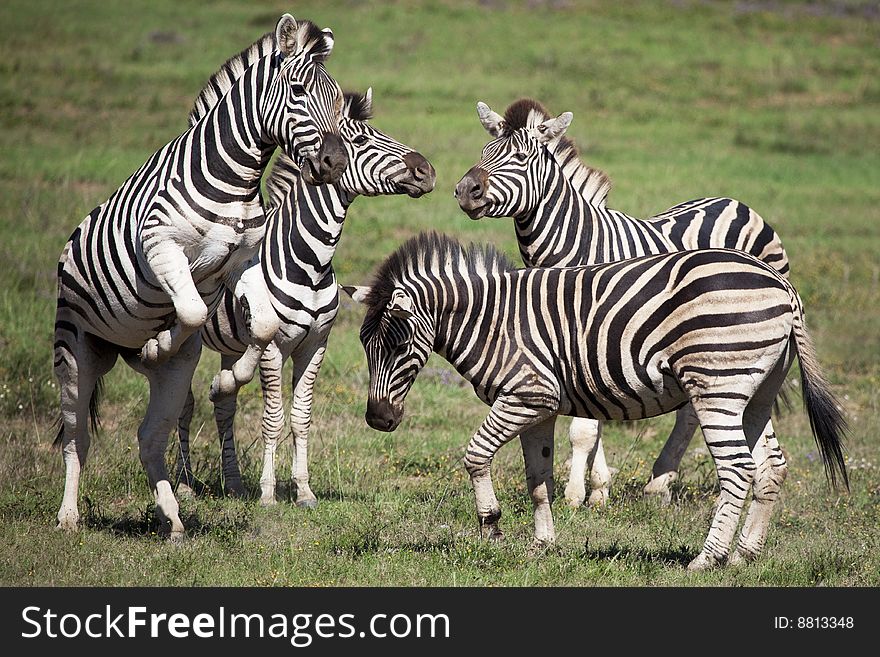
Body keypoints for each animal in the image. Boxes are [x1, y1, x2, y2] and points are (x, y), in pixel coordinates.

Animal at [50, 15, 348, 540]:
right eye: (297, 91)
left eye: (335, 98)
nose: (334, 164)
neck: (235, 180)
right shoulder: (160, 245)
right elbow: (189, 308)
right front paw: (157, 343)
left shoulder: (243, 261)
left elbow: (262, 327)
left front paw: (228, 376)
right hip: (75, 350)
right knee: (76, 435)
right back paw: (69, 518)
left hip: (169, 375)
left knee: (150, 436)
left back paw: (172, 518)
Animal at [174, 86, 434, 498]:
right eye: (361, 140)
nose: (427, 171)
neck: (311, 263)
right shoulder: (273, 348)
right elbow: (273, 418)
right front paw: (268, 493)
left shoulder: (315, 345)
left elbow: (300, 417)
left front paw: (303, 491)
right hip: (190, 337)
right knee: (184, 404)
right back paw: (184, 484)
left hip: (232, 345)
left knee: (224, 404)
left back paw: (233, 482)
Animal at [344, 232, 844, 568]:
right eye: (365, 345)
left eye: (400, 345)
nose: (377, 420)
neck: (491, 321)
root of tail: (782, 286)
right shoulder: (538, 406)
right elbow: (538, 477)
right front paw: (542, 545)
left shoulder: (524, 395)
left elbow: (475, 456)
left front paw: (491, 530)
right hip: (757, 394)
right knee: (771, 467)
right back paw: (744, 555)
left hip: (717, 386)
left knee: (738, 469)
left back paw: (707, 559)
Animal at [454, 98, 792, 508]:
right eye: (484, 152)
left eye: (519, 157)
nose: (464, 190)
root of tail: (735, 202)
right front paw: (599, 488)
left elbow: (584, 429)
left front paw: (575, 494)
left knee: (694, 413)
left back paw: (660, 482)